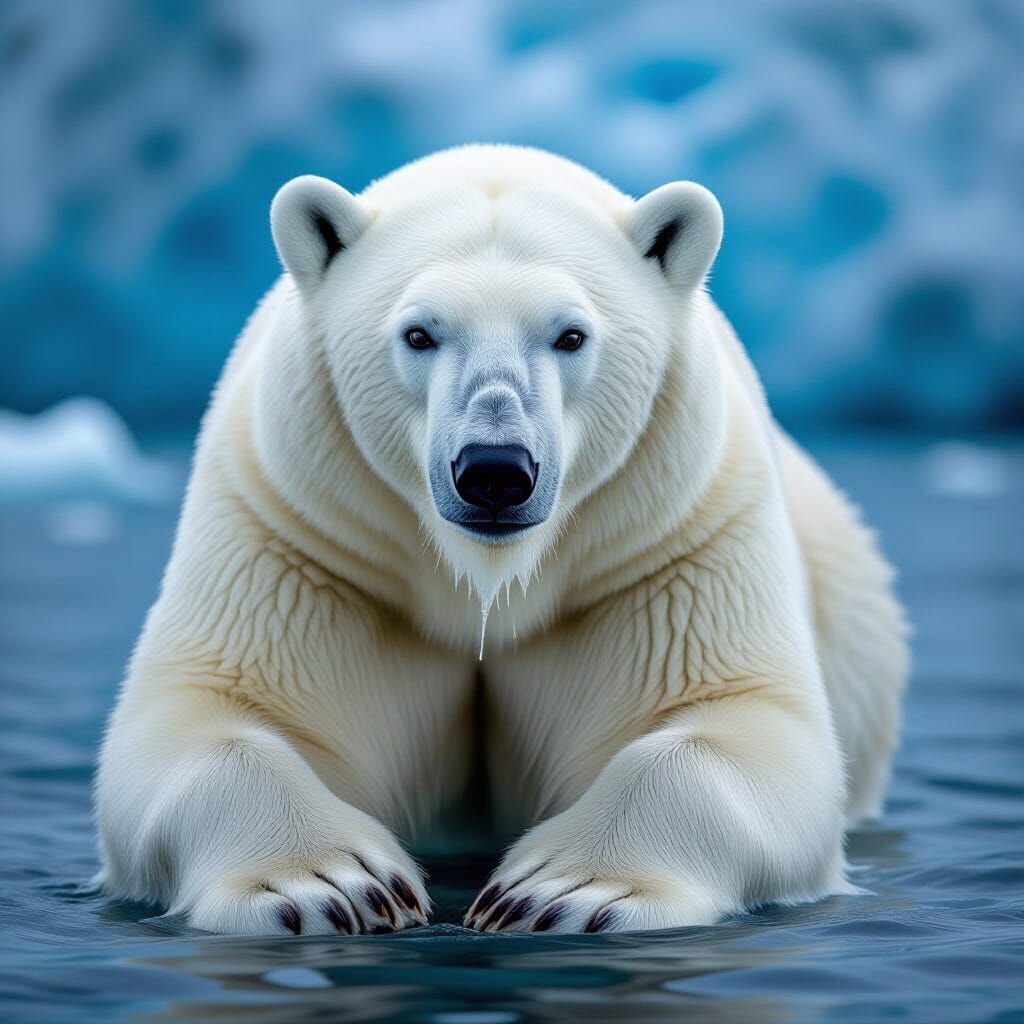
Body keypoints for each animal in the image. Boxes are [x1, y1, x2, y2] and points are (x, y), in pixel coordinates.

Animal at [95, 145, 909, 935]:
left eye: (571, 334)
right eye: (419, 333)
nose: (494, 470)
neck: (485, 584)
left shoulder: (673, 544)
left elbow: (742, 724)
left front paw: (562, 890)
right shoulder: (299, 537)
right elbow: (201, 714)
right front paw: (335, 885)